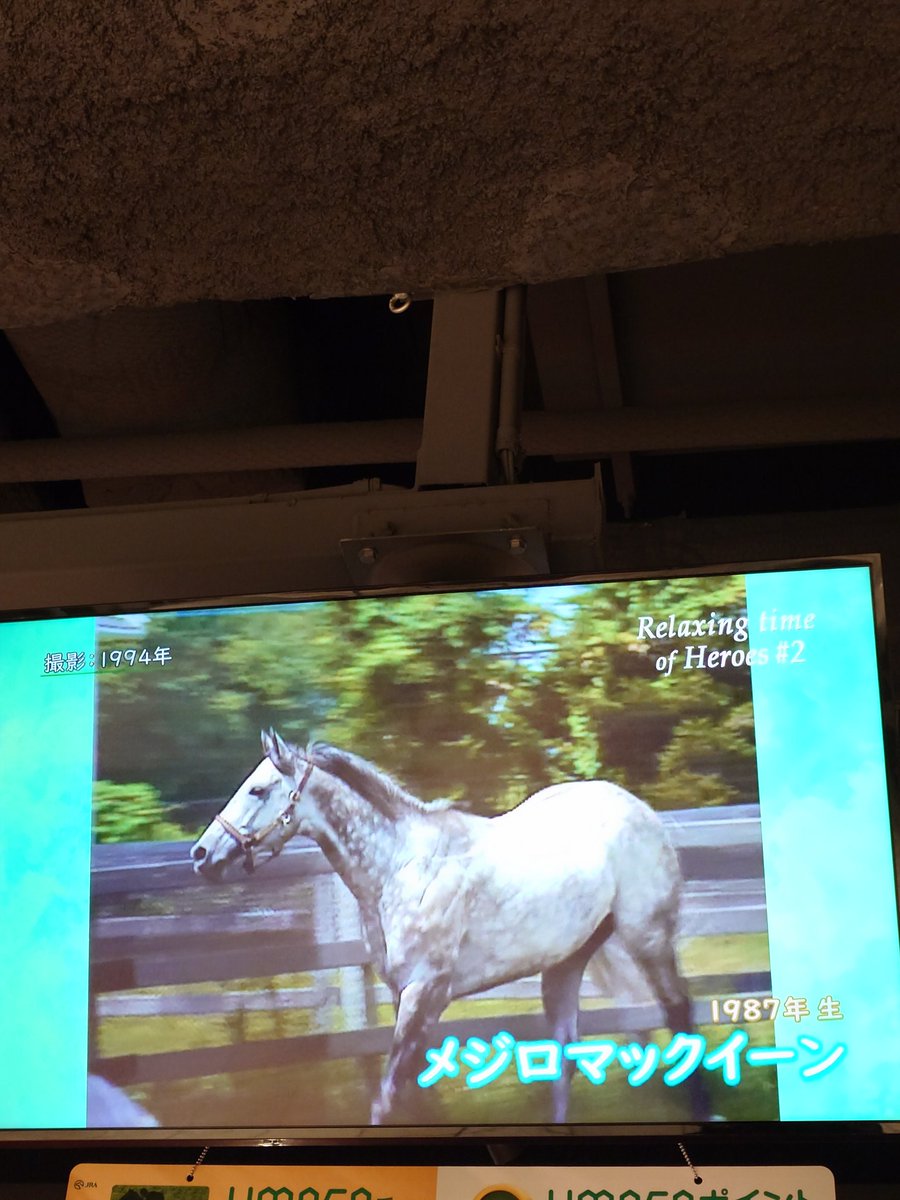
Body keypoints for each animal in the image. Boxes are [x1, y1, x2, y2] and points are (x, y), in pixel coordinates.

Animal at [191, 730, 708, 1125]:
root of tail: (641, 809)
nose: (201, 855)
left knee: (679, 1015)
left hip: (648, 937)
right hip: (566, 962)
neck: (398, 869)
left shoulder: (426, 991)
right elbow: (412, 1093)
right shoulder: (406, 995)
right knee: (565, 1053)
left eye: (258, 790)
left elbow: (387, 1096)